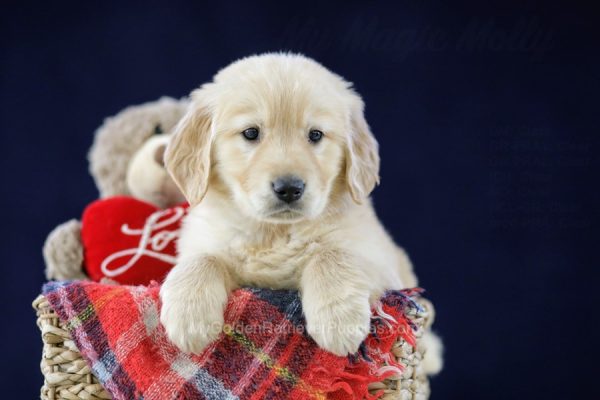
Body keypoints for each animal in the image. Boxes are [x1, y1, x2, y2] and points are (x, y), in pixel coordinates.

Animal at [159, 53, 432, 366]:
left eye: (315, 135)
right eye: (251, 133)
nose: (289, 188)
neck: (275, 233)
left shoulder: (380, 261)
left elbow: (330, 254)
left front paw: (338, 321)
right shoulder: (205, 240)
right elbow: (202, 260)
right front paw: (188, 317)